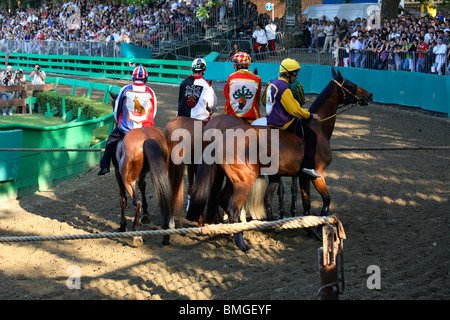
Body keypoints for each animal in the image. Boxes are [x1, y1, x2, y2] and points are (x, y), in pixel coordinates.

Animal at [108, 92, 173, 245]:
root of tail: (147, 137)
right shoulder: (143, 173)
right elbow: (143, 185)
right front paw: (146, 215)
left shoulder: (118, 174)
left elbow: (122, 199)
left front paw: (122, 226)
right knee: (165, 197)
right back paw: (165, 235)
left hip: (127, 179)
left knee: (136, 202)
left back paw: (136, 234)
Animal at [186, 69, 372, 251]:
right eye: (350, 84)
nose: (369, 95)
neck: (317, 128)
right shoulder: (317, 174)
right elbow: (326, 200)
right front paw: (319, 229)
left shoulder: (303, 176)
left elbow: (306, 203)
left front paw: (309, 230)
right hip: (244, 181)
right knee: (233, 208)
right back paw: (242, 243)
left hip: (234, 180)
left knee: (221, 200)